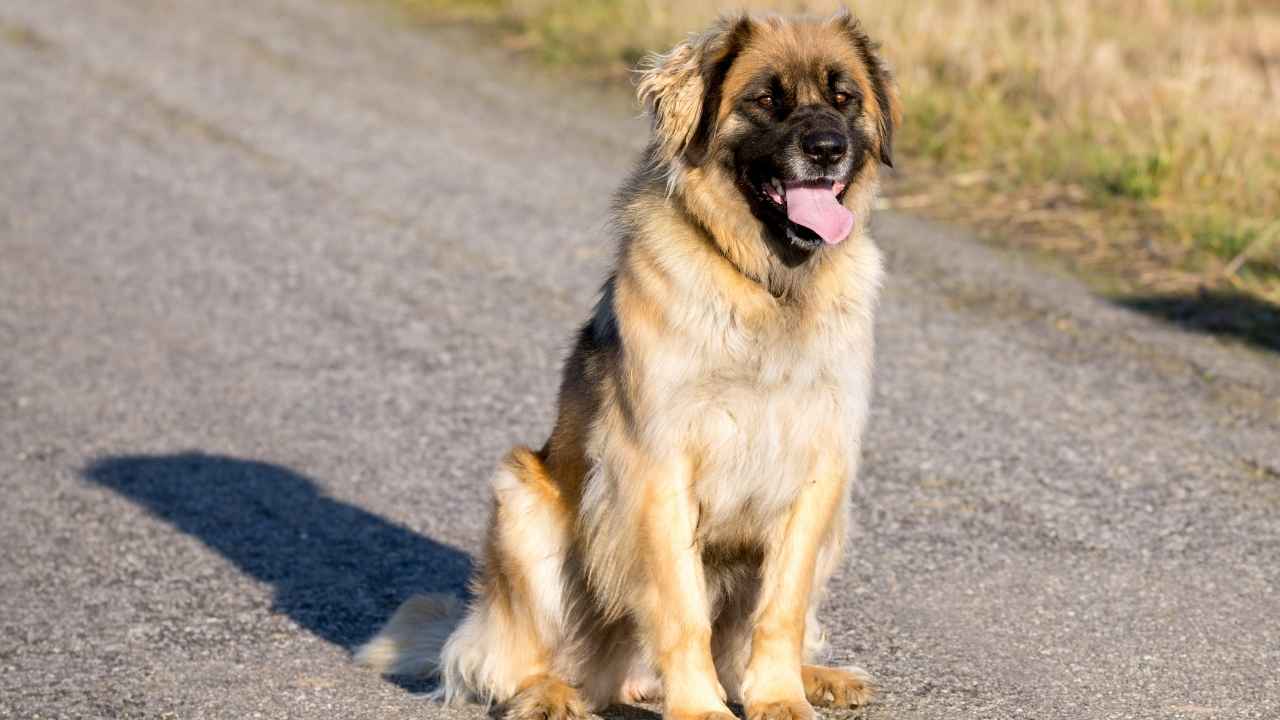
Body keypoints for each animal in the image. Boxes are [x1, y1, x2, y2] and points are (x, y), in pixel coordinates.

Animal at [358, 11, 901, 717]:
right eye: (766, 99)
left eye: (844, 98)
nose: (828, 149)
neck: (766, 285)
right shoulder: (657, 465)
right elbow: (681, 607)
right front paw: (700, 707)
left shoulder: (820, 468)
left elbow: (780, 608)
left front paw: (781, 696)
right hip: (522, 503)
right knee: (502, 661)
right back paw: (549, 692)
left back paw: (818, 675)